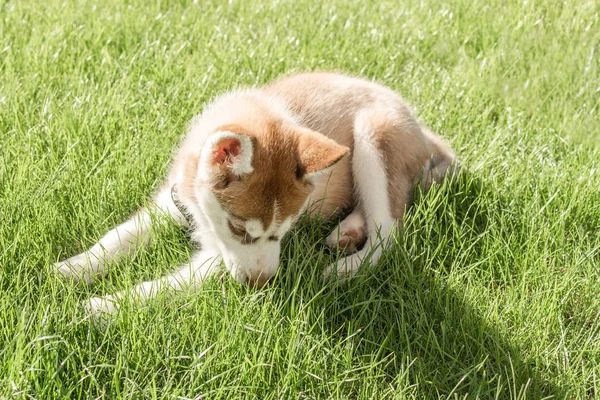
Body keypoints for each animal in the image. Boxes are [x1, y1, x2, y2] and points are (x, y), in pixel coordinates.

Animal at [54, 72, 458, 316]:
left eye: (286, 229)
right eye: (238, 229)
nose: (262, 284)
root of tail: (423, 129)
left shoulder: (220, 257)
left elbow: (176, 281)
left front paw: (106, 306)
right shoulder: (173, 201)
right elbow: (118, 237)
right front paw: (74, 269)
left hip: (373, 137)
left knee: (390, 229)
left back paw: (346, 267)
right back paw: (349, 231)